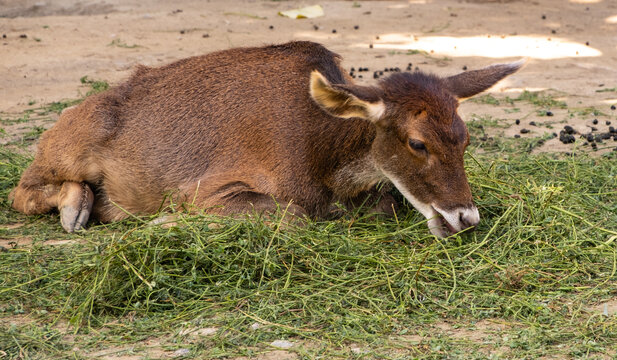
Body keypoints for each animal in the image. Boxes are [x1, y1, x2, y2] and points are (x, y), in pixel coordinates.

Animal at [8, 41, 520, 236]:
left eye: (465, 138)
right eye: (417, 143)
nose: (466, 217)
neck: (323, 162)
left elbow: (386, 202)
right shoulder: (207, 188)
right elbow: (292, 214)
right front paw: (167, 221)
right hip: (67, 145)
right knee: (20, 189)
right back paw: (77, 209)